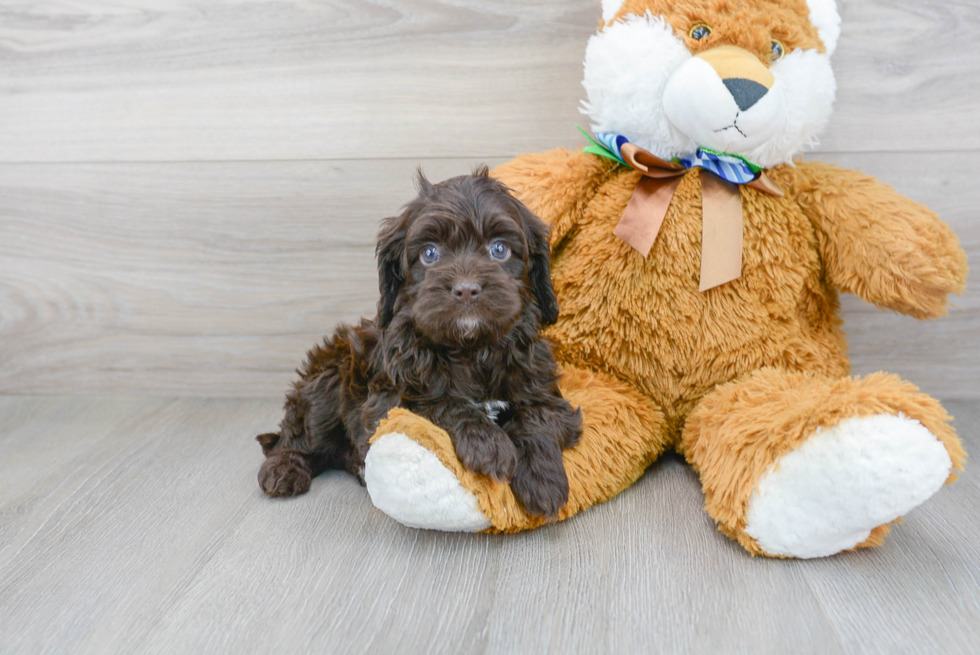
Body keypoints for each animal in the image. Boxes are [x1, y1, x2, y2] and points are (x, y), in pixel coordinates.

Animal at [258, 168, 580, 516]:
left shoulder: (546, 390)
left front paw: (543, 480)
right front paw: (489, 444)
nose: (466, 289)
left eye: (499, 249)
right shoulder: (388, 401)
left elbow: (537, 415)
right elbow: (438, 403)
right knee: (297, 437)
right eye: (429, 253)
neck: (472, 348)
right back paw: (283, 470)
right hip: (328, 381)